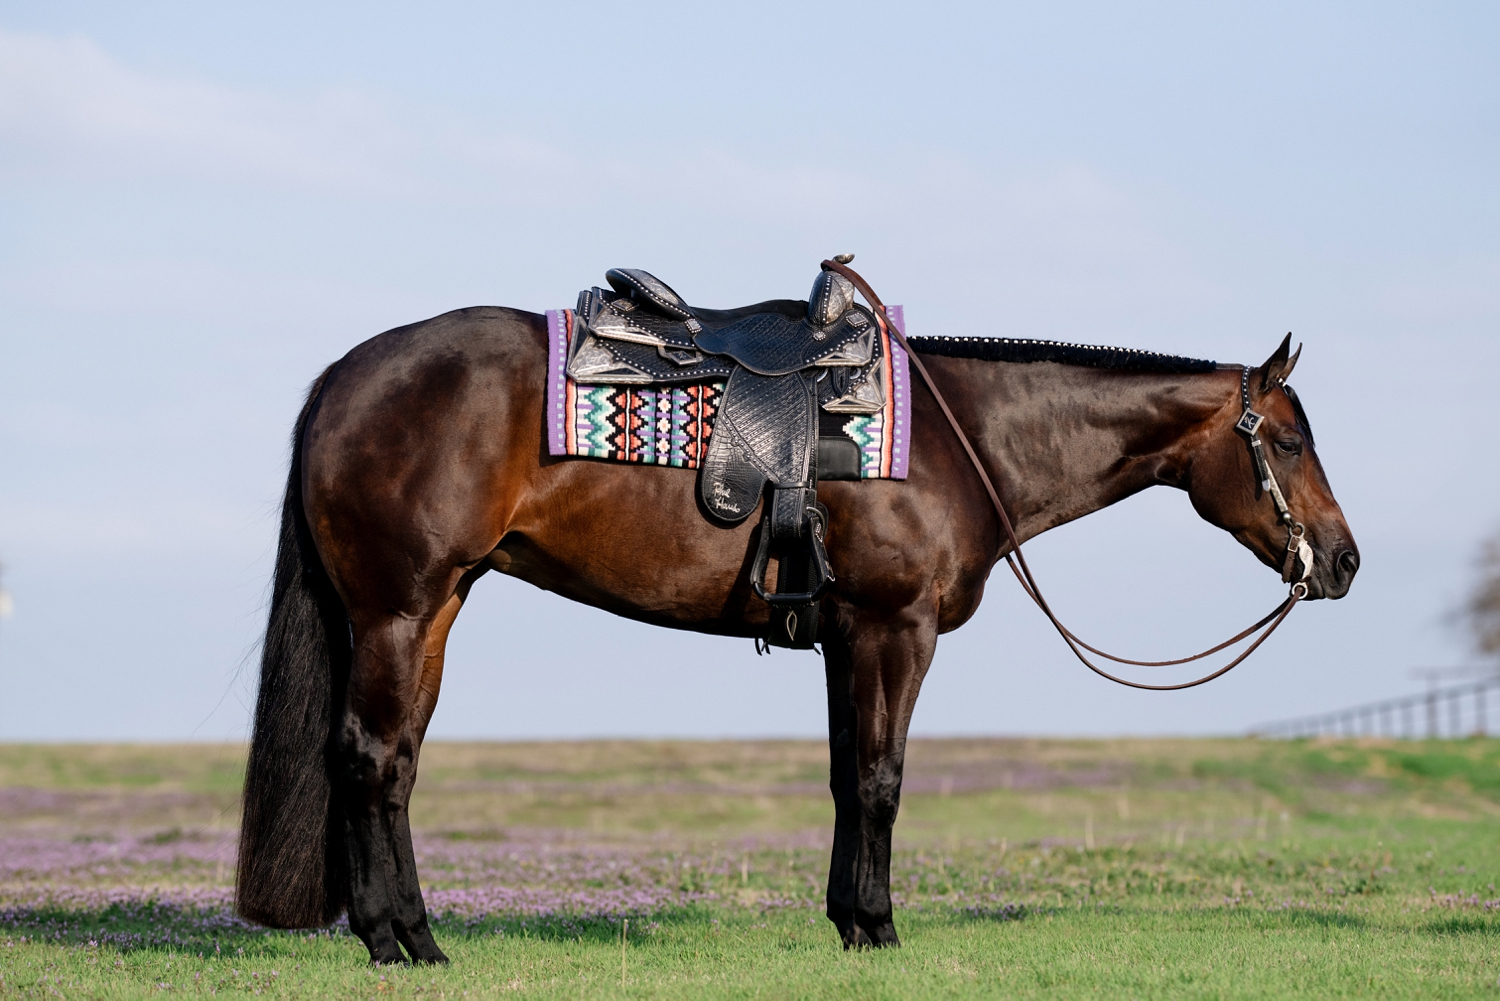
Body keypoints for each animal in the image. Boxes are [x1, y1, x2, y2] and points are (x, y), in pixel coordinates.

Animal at [234, 301, 1358, 963]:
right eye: (1289, 440)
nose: (1343, 562)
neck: (963, 440)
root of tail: (344, 377)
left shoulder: (844, 635)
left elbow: (844, 777)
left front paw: (847, 916)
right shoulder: (894, 630)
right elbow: (881, 779)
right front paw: (879, 927)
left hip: (435, 606)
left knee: (394, 761)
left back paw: (408, 929)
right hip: (398, 608)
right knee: (369, 756)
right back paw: (399, 943)